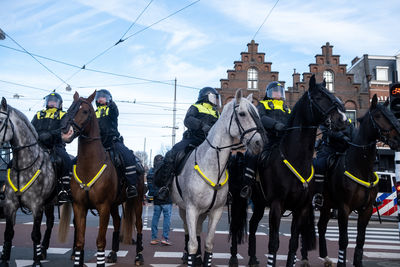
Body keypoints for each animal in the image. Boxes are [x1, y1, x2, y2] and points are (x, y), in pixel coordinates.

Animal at [0, 99, 70, 267]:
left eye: (0, 121)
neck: (24, 166)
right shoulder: (9, 205)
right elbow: (8, 233)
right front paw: (4, 260)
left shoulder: (36, 206)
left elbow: (35, 234)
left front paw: (36, 261)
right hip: (50, 203)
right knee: (50, 223)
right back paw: (43, 250)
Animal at [60, 91, 145, 266]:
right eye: (69, 108)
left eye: (85, 111)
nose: (65, 130)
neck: (89, 166)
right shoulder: (80, 207)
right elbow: (80, 241)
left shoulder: (103, 207)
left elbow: (100, 241)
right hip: (115, 204)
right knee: (118, 222)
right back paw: (113, 253)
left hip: (136, 200)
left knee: (139, 225)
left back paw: (139, 256)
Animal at [170, 90, 264, 267]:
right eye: (242, 113)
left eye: (257, 114)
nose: (259, 143)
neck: (213, 167)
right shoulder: (191, 209)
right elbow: (192, 244)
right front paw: (192, 256)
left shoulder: (216, 211)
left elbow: (208, 243)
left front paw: (202, 259)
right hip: (183, 208)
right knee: (187, 232)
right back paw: (186, 256)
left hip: (202, 212)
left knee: (198, 231)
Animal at [228, 75, 346, 267]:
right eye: (319, 96)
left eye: (330, 93)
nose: (342, 119)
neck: (297, 159)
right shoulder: (277, 205)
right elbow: (274, 243)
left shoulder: (301, 208)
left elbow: (293, 243)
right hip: (239, 199)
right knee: (236, 225)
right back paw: (233, 257)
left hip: (259, 203)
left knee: (252, 226)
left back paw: (252, 258)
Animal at [302, 94, 400, 267]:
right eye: (378, 116)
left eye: (392, 114)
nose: (397, 138)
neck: (360, 168)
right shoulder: (344, 208)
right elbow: (344, 240)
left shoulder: (366, 209)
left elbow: (360, 240)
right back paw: (305, 258)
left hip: (326, 206)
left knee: (321, 226)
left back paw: (326, 257)